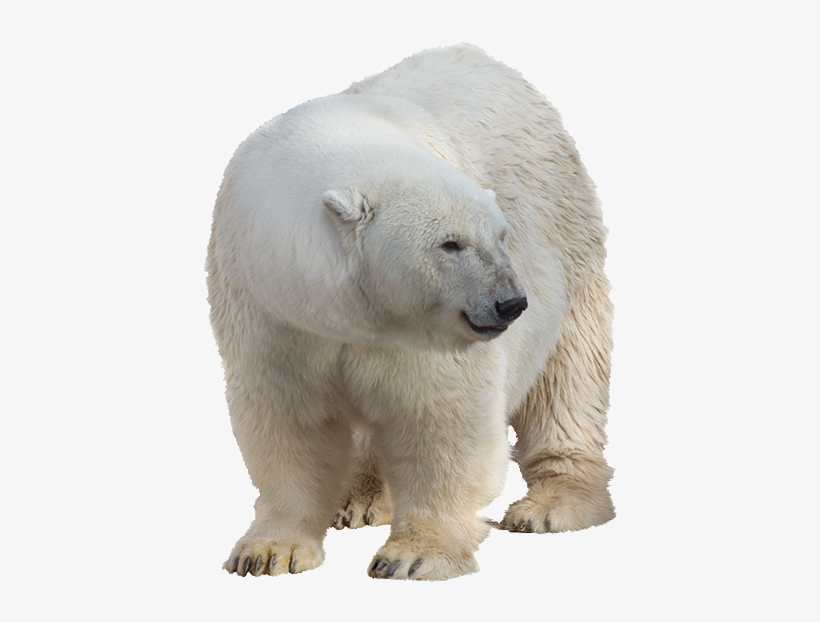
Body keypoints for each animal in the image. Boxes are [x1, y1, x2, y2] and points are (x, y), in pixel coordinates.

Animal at [207, 44, 614, 581]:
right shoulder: (268, 304)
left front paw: (413, 554)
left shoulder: (420, 328)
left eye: (499, 236)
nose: (510, 303)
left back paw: (553, 503)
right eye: (450, 243)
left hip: (566, 234)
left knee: (568, 374)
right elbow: (291, 417)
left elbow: (440, 415)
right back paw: (359, 499)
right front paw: (267, 551)